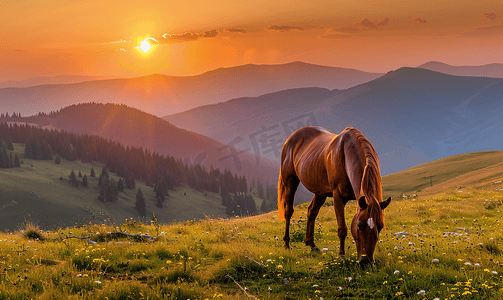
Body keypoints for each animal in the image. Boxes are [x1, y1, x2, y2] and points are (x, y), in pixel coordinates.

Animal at [280, 126, 390, 262]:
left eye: (380, 226)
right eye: (359, 224)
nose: (366, 261)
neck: (346, 155)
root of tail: (290, 139)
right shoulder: (338, 197)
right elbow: (342, 229)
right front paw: (341, 255)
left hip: (320, 191)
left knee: (312, 211)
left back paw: (312, 245)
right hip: (290, 182)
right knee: (289, 211)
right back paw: (286, 244)